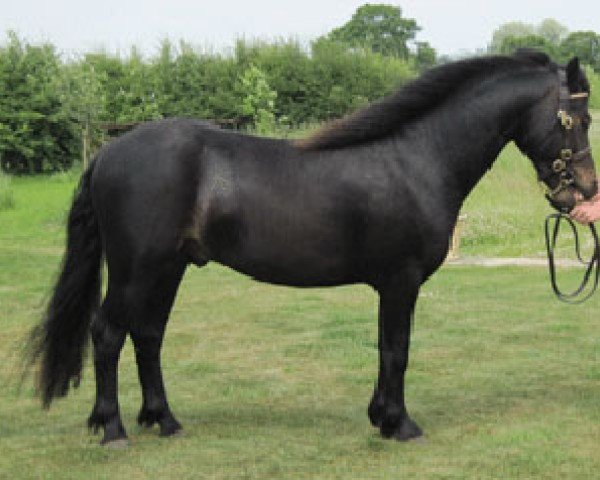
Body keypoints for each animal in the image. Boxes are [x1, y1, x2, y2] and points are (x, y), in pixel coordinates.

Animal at [29, 50, 596, 444]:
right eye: (579, 118)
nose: (586, 192)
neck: (418, 157)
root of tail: (107, 154)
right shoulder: (401, 281)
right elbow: (397, 350)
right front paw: (400, 424)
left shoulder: (390, 286)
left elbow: (385, 348)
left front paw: (380, 416)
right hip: (136, 270)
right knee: (107, 335)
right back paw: (112, 430)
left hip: (168, 269)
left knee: (147, 336)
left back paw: (163, 420)